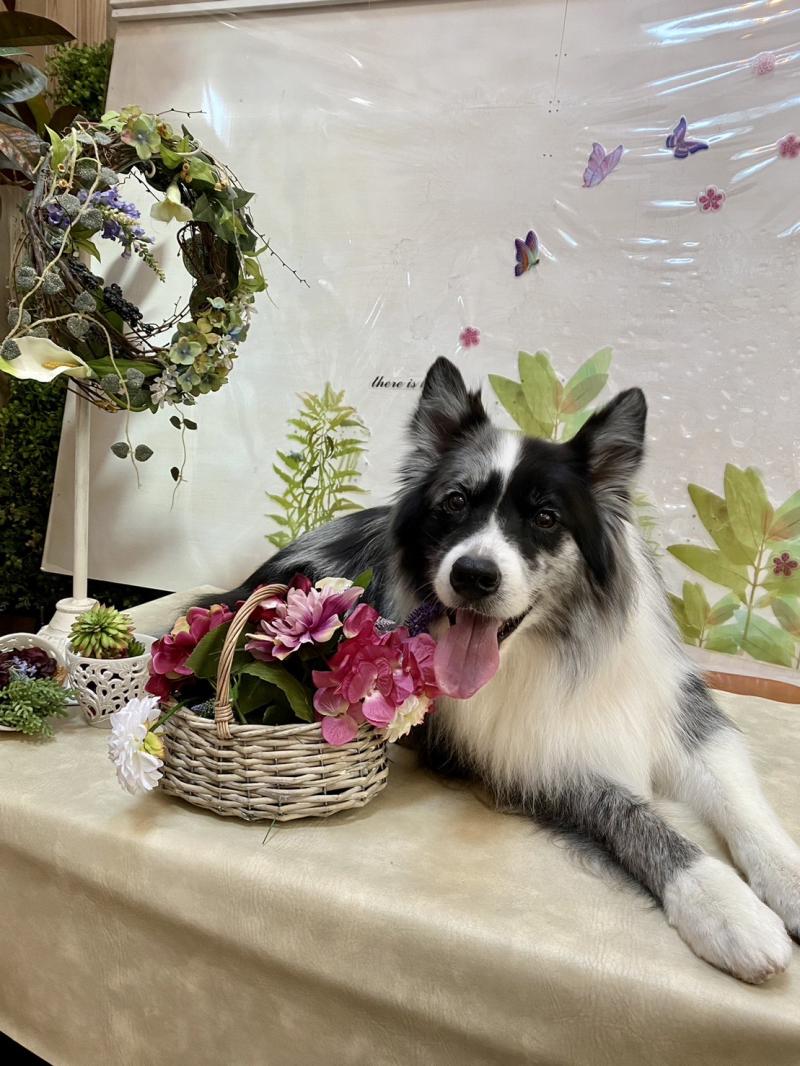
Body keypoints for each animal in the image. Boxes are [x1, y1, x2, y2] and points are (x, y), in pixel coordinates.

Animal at [207, 357, 800, 983]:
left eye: (546, 517)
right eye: (453, 503)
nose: (473, 576)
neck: (555, 647)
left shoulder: (681, 714)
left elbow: (740, 800)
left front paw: (786, 883)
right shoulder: (541, 763)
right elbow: (637, 819)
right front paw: (726, 906)